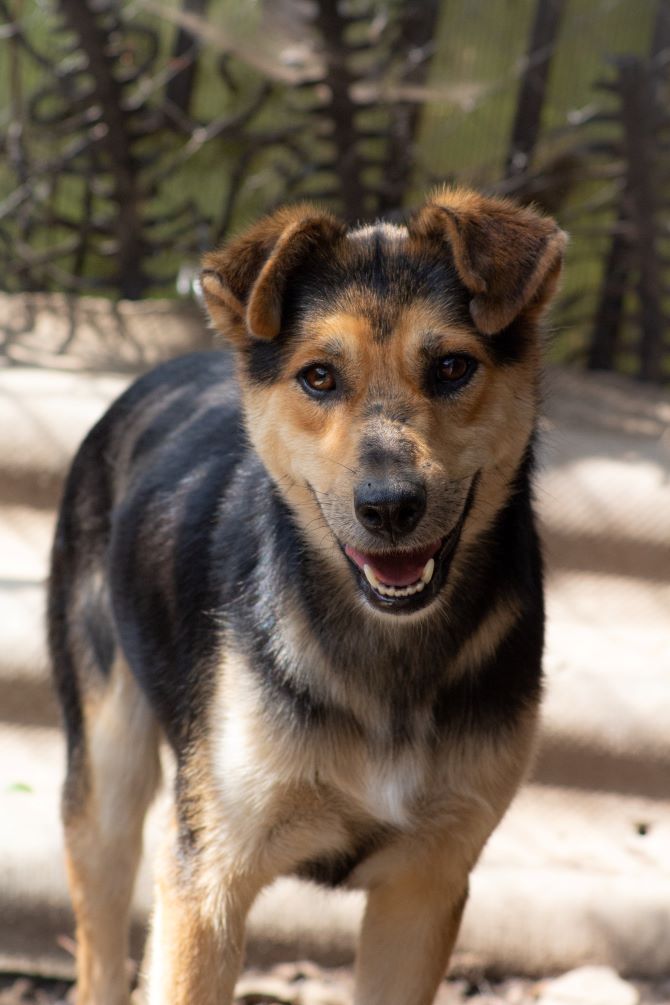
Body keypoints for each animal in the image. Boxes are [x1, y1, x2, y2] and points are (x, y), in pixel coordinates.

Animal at [48, 188, 566, 1005]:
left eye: (453, 366)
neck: (386, 649)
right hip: (105, 768)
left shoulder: (423, 886)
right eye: (319, 377)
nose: (390, 507)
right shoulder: (207, 882)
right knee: (100, 936)